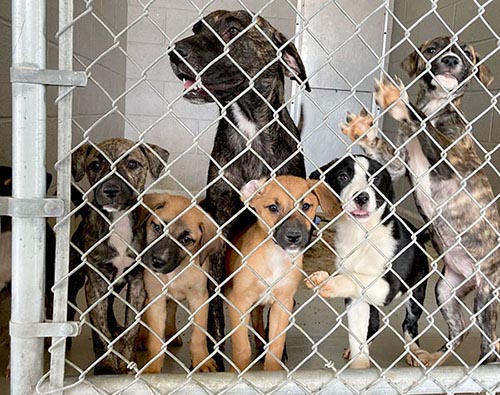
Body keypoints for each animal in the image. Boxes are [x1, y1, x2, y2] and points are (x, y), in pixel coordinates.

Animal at [70, 138, 170, 374]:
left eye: (132, 164)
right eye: (95, 165)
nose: (110, 190)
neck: (119, 219)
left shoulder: (137, 283)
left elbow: (131, 329)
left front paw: (126, 362)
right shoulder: (95, 282)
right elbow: (100, 329)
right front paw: (106, 366)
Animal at [168, 9, 308, 368]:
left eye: (233, 29)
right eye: (197, 29)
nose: (174, 52)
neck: (250, 128)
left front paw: (274, 351)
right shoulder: (220, 222)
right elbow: (216, 303)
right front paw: (216, 358)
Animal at [226, 176, 340, 372]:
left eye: (306, 206)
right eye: (273, 207)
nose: (294, 236)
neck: (275, 258)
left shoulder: (283, 303)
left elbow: (275, 347)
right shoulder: (238, 301)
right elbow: (242, 348)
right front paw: (237, 372)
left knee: (257, 316)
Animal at [306, 156, 428, 370]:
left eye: (376, 179)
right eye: (343, 176)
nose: (362, 197)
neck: (362, 234)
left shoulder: (390, 286)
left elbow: (355, 278)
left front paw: (328, 282)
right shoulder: (357, 302)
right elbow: (357, 337)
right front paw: (360, 367)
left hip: (417, 291)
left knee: (409, 323)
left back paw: (414, 350)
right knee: (374, 324)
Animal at [342, 37, 498, 368]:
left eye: (467, 53)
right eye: (433, 49)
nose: (450, 60)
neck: (437, 105)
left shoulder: (449, 161)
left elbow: (424, 123)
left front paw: (398, 102)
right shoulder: (397, 165)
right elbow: (385, 148)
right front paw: (363, 130)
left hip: (486, 292)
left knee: (489, 343)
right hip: (446, 289)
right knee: (460, 330)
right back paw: (433, 358)